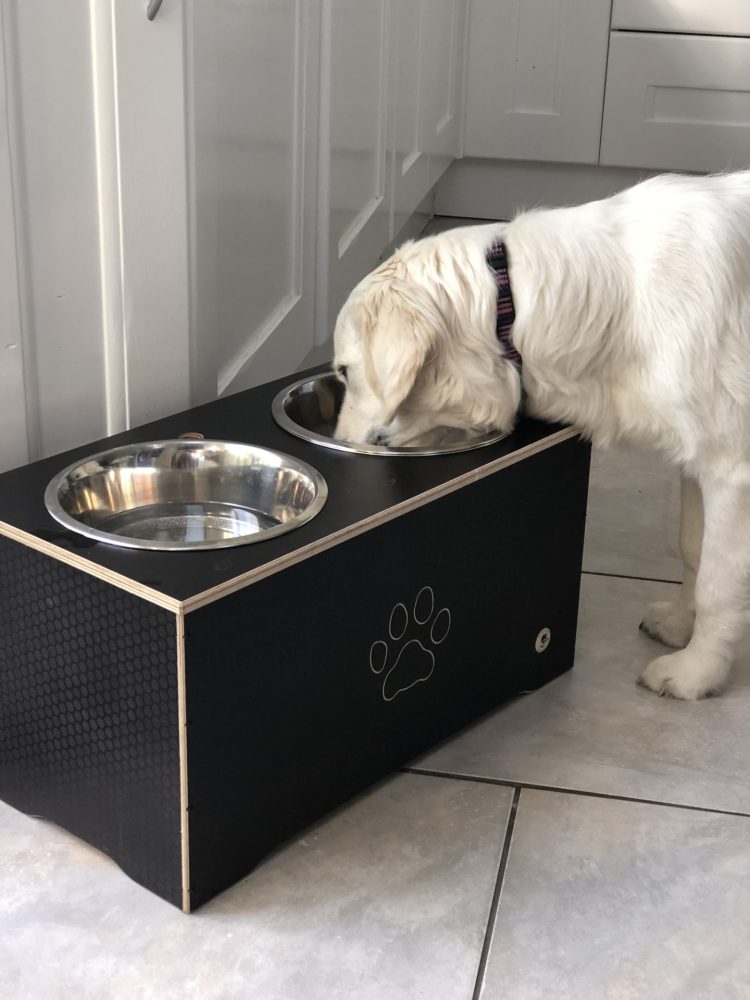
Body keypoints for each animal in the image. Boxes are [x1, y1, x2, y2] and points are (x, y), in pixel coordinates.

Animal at [334, 170, 750, 704]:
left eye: (345, 372)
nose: (342, 447)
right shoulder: (698, 455)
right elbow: (694, 550)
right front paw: (681, 626)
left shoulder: (732, 471)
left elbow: (718, 582)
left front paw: (696, 673)